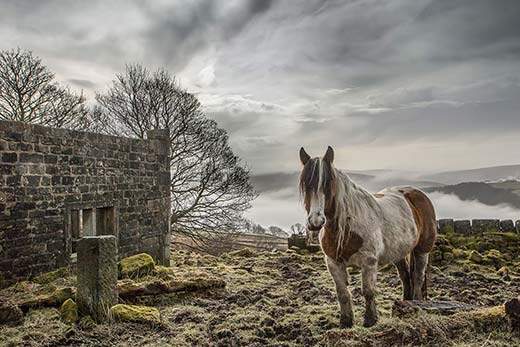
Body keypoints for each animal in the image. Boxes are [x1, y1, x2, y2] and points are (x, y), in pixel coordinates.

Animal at [298, 147, 436, 328]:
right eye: (306, 185)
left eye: (328, 184)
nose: (315, 222)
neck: (346, 227)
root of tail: (417, 194)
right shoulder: (333, 263)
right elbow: (343, 293)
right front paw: (346, 322)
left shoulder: (369, 262)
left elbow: (368, 291)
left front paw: (370, 320)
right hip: (398, 253)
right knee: (405, 277)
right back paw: (406, 304)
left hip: (422, 251)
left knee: (418, 278)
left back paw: (417, 304)